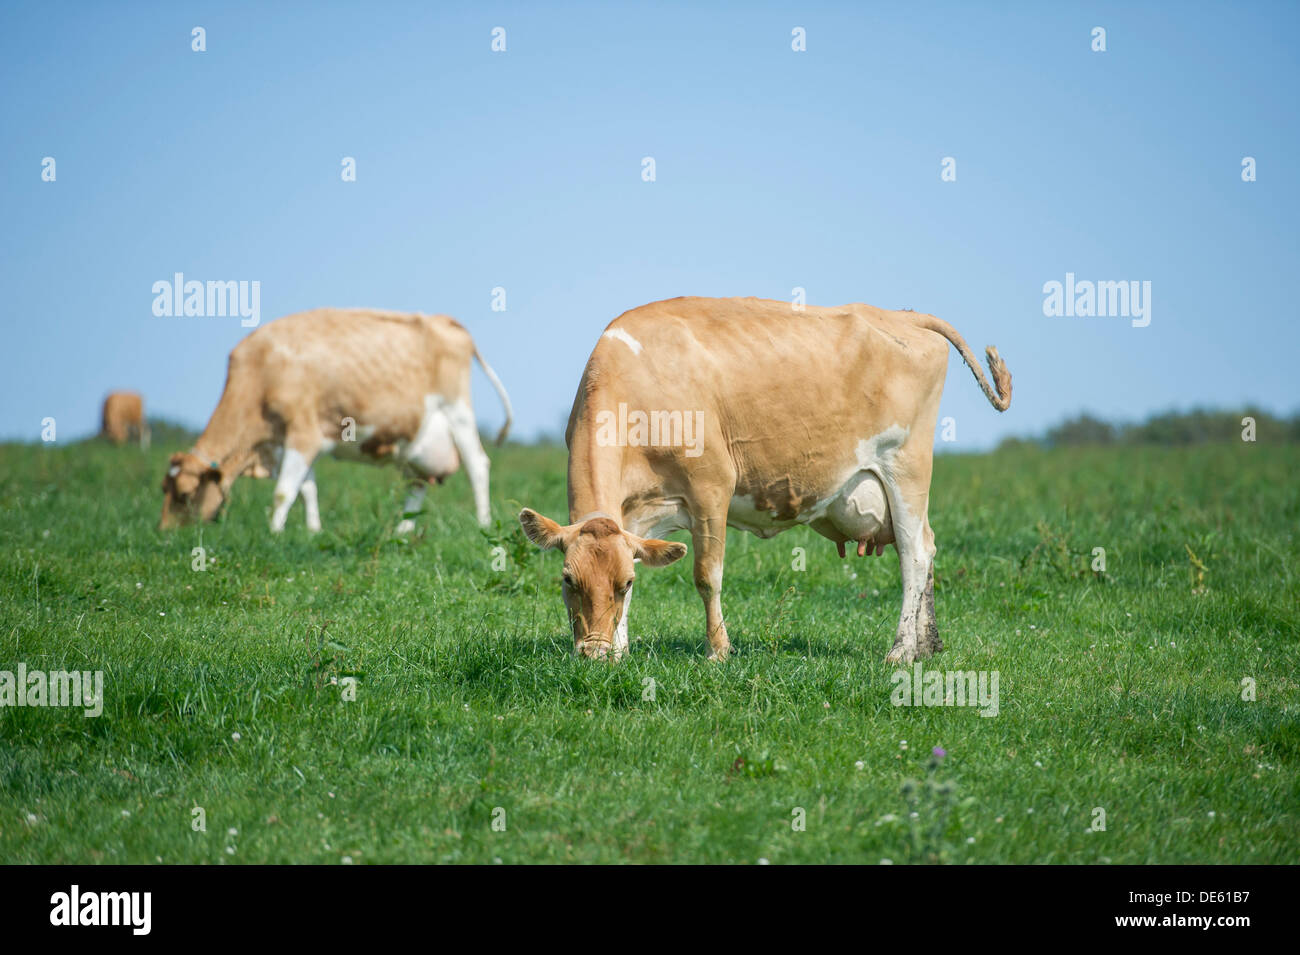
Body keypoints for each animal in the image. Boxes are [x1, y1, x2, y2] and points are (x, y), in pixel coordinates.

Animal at [159, 308, 512, 533]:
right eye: (164, 488)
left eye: (186, 494)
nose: (165, 532)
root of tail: (446, 321)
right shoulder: (289, 441)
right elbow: (307, 488)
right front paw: (313, 530)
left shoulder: (303, 434)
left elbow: (284, 491)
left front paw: (273, 532)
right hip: (416, 439)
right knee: (419, 481)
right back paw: (403, 529)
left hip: (457, 411)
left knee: (477, 465)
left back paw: (482, 523)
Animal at [519, 296, 1012, 664]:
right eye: (568, 580)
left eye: (621, 584)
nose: (594, 654)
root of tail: (902, 316)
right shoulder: (634, 515)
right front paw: (621, 651)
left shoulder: (711, 488)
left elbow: (707, 576)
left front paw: (718, 651)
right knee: (928, 548)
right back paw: (927, 645)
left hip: (906, 467)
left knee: (915, 554)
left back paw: (901, 651)